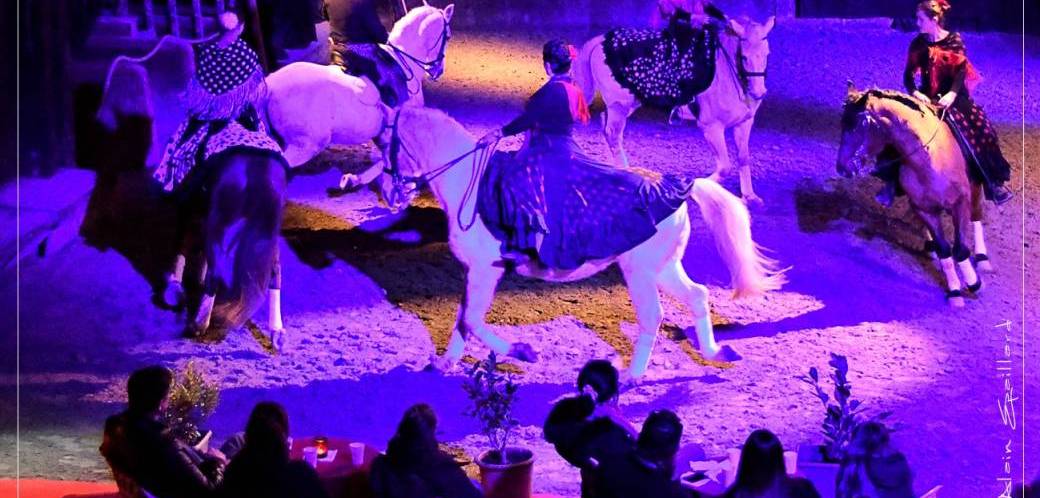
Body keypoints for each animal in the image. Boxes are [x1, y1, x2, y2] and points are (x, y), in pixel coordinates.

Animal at [262, 3, 453, 191]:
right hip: (306, 145)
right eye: (448, 36)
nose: (438, 70)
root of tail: (270, 83)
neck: (404, 63)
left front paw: (353, 179)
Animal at [386, 108, 782, 378]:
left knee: (653, 316)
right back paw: (716, 353)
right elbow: (464, 318)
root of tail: (675, 187)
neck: (467, 179)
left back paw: (631, 378)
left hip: (639, 272)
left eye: (389, 144)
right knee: (698, 296)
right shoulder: (476, 273)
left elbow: (471, 318)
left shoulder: (486, 269)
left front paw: (523, 351)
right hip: (663, 268)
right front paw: (444, 363)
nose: (391, 193)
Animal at [574, 17, 777, 204]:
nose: (759, 93)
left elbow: (743, 158)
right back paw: (625, 172)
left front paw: (749, 196)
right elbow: (725, 167)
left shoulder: (744, 124)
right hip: (619, 106)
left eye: (767, 54)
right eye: (744, 57)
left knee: (607, 132)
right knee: (613, 134)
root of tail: (601, 40)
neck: (726, 73)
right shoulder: (711, 127)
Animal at [836, 83, 990, 305]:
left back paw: (983, 258)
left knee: (977, 215)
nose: (842, 167)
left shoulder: (961, 202)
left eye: (857, 125)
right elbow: (944, 248)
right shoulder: (923, 208)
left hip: (977, 187)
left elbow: (960, 249)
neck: (929, 160)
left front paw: (974, 283)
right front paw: (954, 291)